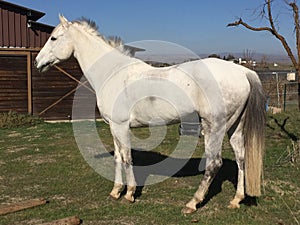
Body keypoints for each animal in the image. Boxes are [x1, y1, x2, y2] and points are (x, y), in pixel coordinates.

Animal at [35, 15, 264, 214]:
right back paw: (236, 200)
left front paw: (129, 194)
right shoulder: (113, 127)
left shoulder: (121, 126)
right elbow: (118, 157)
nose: (38, 62)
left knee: (214, 164)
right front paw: (115, 192)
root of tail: (244, 72)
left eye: (53, 38)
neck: (113, 72)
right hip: (234, 127)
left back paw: (192, 203)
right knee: (241, 158)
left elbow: (127, 158)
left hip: (213, 127)